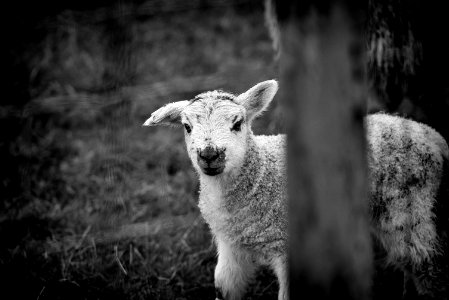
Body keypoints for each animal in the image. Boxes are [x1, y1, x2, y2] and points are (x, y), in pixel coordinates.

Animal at [144, 80, 448, 300]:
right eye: (187, 127)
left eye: (237, 124)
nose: (209, 154)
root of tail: (431, 135)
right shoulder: (231, 245)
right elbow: (224, 287)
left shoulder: (290, 247)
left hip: (410, 209)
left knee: (426, 265)